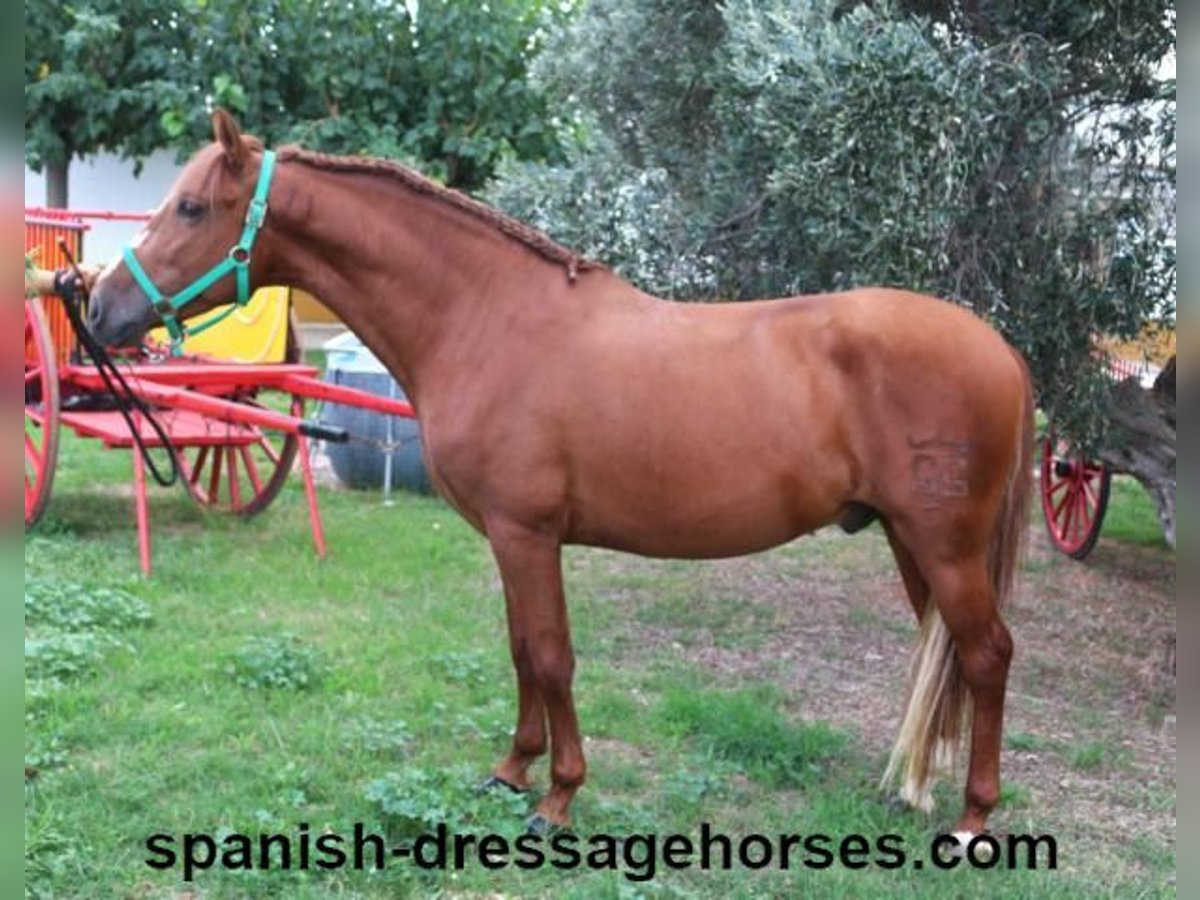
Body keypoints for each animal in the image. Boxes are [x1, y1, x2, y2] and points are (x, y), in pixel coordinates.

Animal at [91, 112, 1032, 844]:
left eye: (190, 206)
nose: (99, 308)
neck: (487, 318)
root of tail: (1002, 352)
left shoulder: (527, 534)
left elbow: (550, 654)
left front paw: (558, 798)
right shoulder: (509, 542)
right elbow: (519, 651)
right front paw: (511, 770)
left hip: (946, 546)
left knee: (987, 654)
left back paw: (973, 818)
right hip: (912, 542)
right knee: (945, 655)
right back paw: (915, 791)